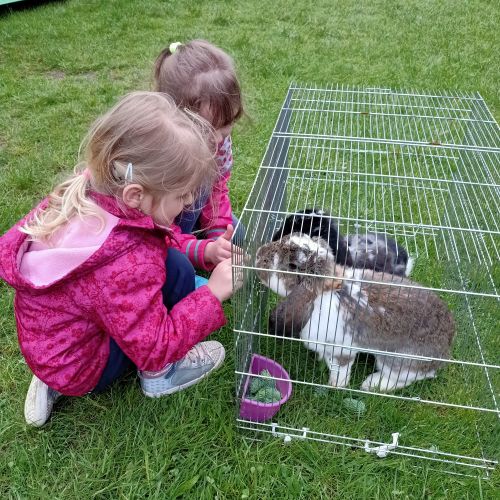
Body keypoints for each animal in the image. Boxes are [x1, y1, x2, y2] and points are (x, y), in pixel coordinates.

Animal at [256, 233, 455, 393]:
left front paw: (335, 386)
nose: (258, 255)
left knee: (403, 377)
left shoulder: (341, 349)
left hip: (396, 360)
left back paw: (372, 384)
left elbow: (340, 369)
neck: (323, 293)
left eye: (292, 265)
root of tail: (444, 354)